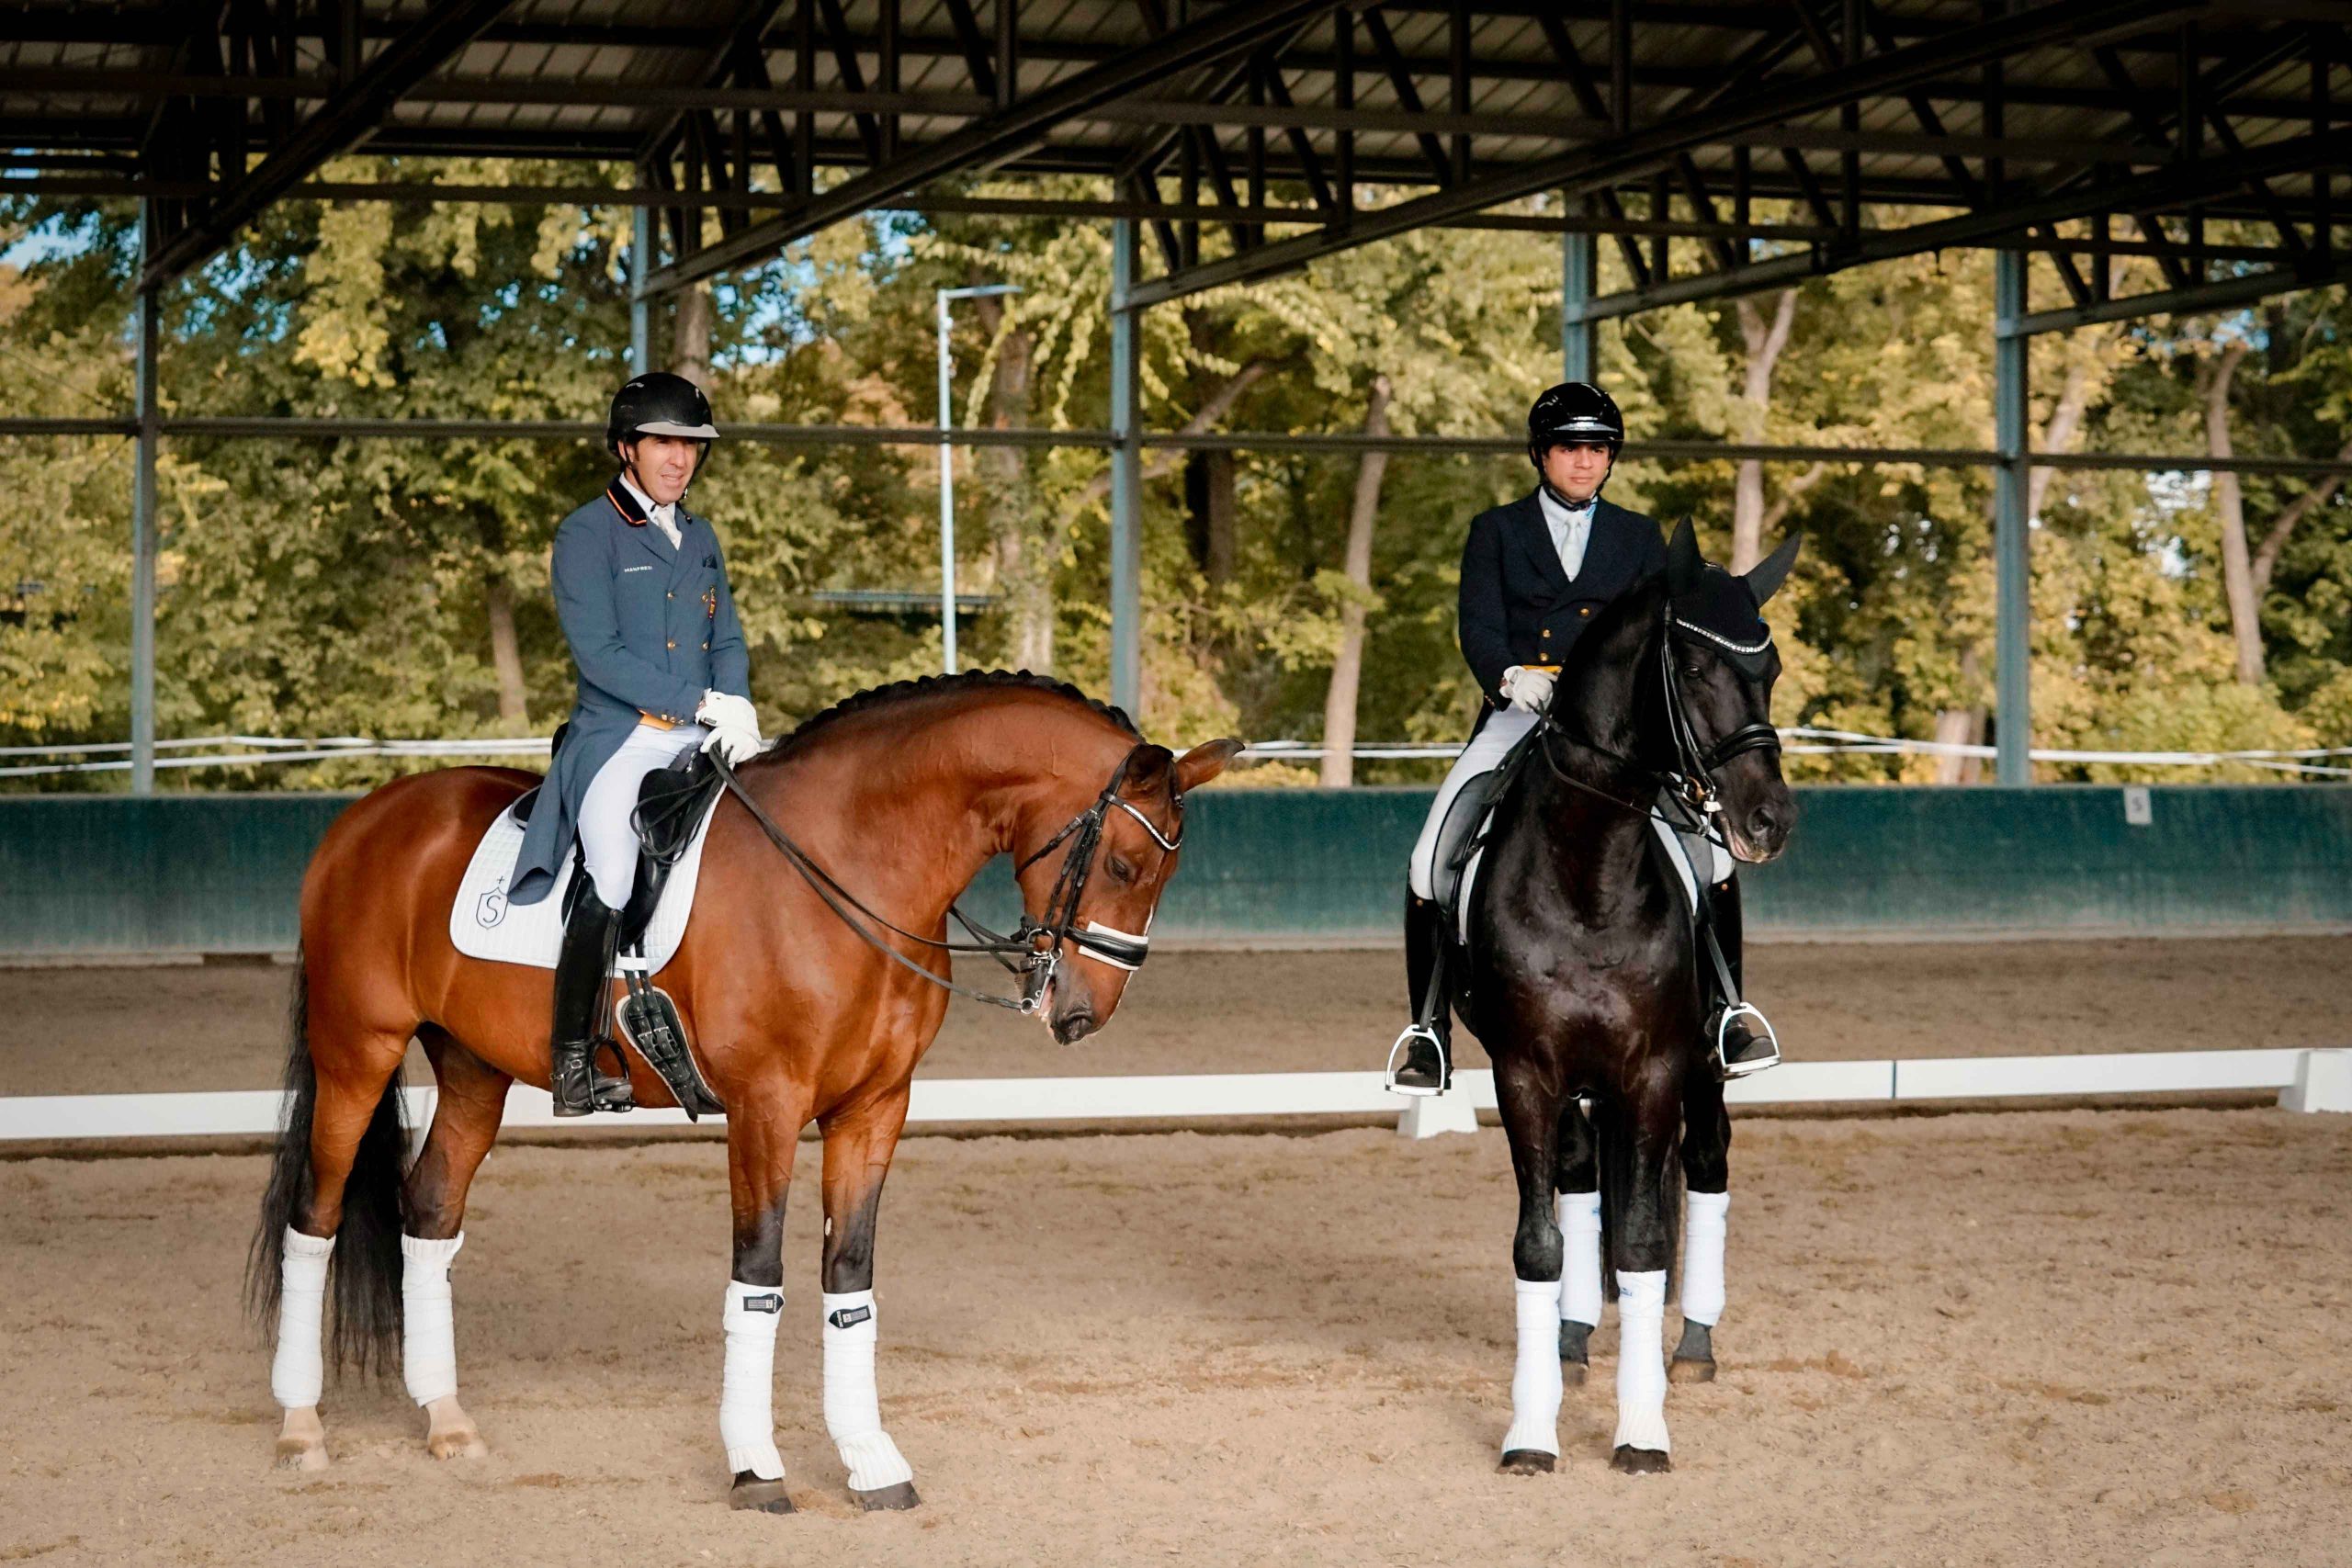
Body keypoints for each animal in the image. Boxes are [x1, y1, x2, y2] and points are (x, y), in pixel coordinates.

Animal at [253, 671, 1250, 1504]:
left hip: (470, 1068)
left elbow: (849, 1278)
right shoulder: (766, 1106)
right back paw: (301, 1429)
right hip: (357, 1051)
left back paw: (447, 1422)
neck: (850, 864)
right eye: (1123, 865)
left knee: (428, 1211)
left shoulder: (875, 1108)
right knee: (316, 1216)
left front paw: (871, 1461)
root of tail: (366, 817)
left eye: (1161, 875)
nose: (1080, 1014)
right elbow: (760, 1273)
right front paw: (756, 1465)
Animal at [1448, 522, 1796, 1476]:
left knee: (1707, 1163)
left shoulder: (1655, 1069)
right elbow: (1540, 1242)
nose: (1768, 821)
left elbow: (1642, 1242)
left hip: (1704, 1067)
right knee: (1577, 1179)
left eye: (1770, 666)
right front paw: (1532, 1429)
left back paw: (1697, 1343)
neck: (1587, 870)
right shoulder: (1525, 1073)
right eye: (1697, 664)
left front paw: (1643, 1428)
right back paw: (1571, 1337)